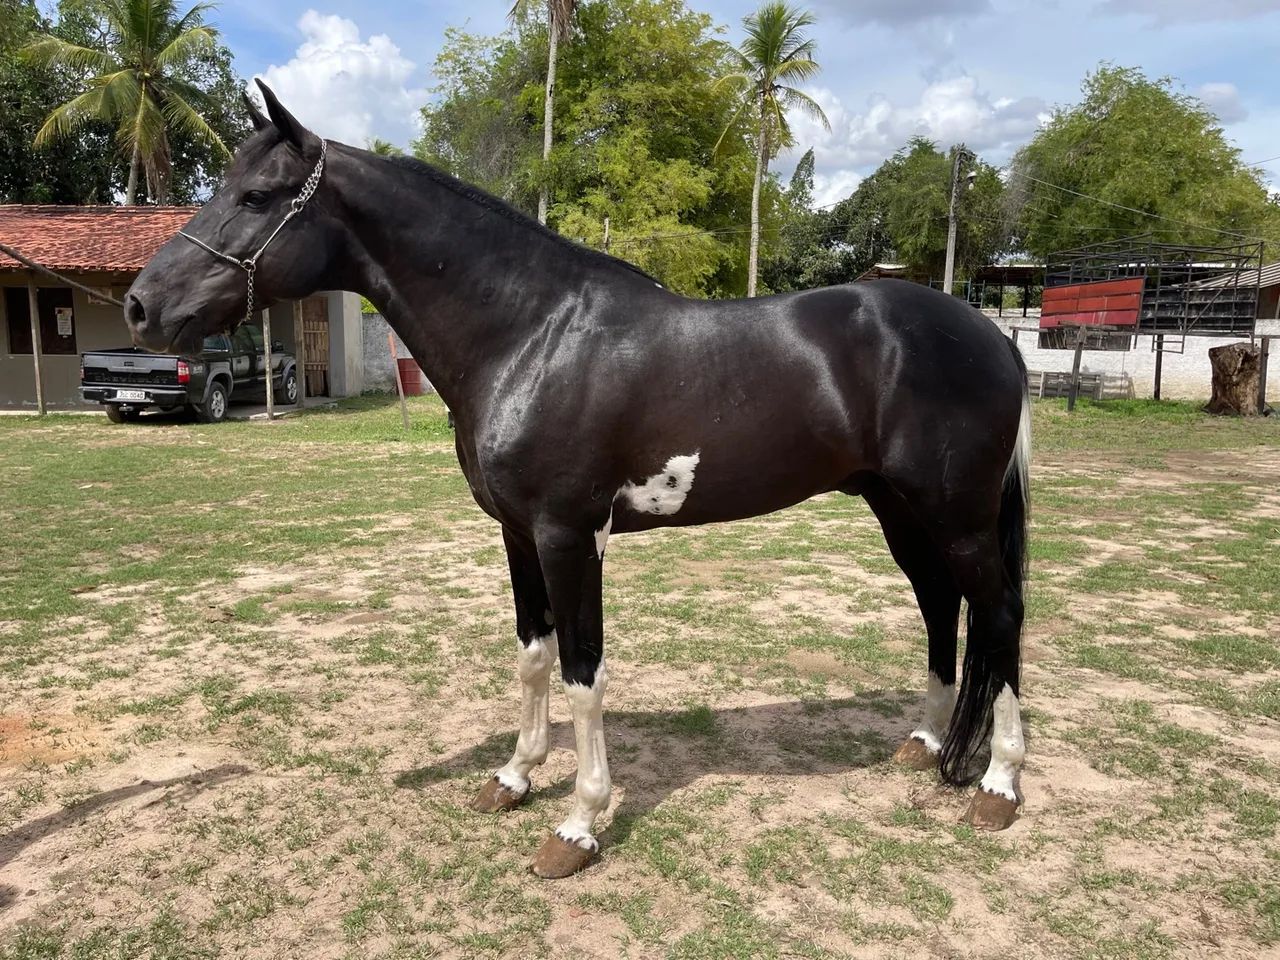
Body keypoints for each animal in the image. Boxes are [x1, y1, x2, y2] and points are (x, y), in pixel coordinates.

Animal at [124, 81, 1030, 879]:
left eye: (257, 196)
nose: (140, 305)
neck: (531, 333)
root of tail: (991, 333)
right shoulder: (517, 532)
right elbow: (533, 657)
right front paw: (513, 777)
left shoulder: (570, 534)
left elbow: (583, 672)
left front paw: (579, 824)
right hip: (899, 509)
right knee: (940, 606)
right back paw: (923, 744)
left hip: (957, 516)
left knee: (999, 616)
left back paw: (998, 784)